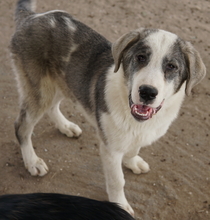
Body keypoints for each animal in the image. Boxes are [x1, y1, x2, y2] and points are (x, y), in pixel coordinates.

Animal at [10, 0, 206, 215]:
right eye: (140, 57)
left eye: (171, 66)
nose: (147, 92)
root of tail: (31, 17)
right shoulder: (110, 149)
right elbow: (117, 181)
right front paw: (120, 204)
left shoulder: (136, 135)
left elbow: (133, 148)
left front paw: (132, 162)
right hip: (40, 90)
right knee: (21, 127)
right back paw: (32, 161)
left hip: (62, 82)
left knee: (53, 107)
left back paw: (66, 126)